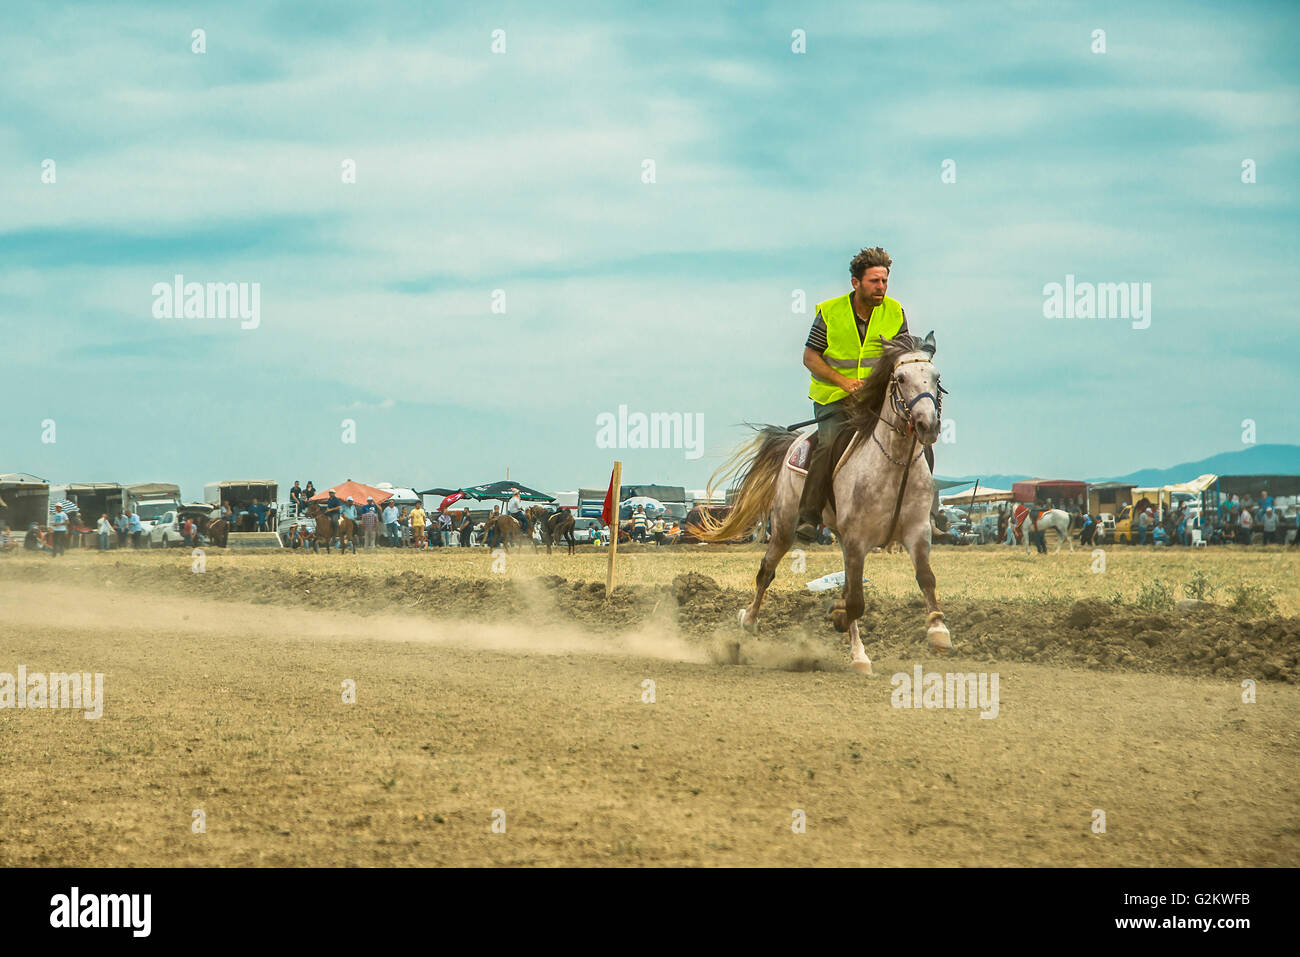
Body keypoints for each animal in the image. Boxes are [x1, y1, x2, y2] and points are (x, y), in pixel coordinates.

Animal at [691, 332, 956, 676]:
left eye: (936, 378)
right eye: (900, 378)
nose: (928, 425)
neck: (893, 463)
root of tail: (793, 441)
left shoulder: (917, 531)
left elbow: (925, 578)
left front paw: (938, 631)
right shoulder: (857, 540)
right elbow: (855, 601)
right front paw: (838, 616)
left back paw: (858, 654)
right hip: (784, 528)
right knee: (766, 572)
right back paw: (749, 622)